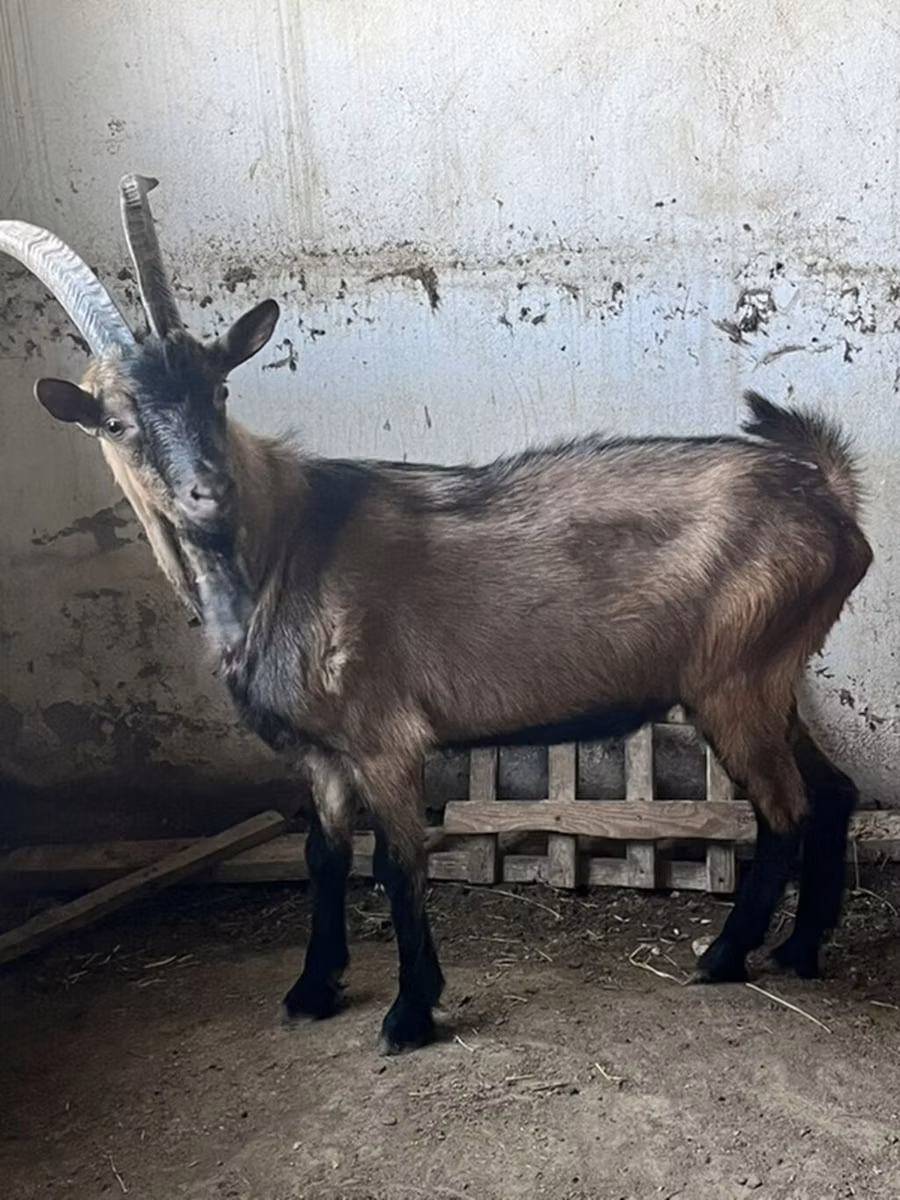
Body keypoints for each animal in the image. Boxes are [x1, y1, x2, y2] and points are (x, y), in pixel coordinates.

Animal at [0, 177, 872, 1053]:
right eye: (116, 420)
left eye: (217, 388)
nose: (207, 491)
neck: (287, 543)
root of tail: (828, 501)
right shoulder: (321, 754)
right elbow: (323, 856)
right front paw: (313, 989)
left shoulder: (384, 738)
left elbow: (397, 864)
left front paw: (410, 1010)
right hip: (769, 679)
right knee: (832, 793)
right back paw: (798, 950)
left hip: (735, 682)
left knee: (785, 812)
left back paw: (726, 956)